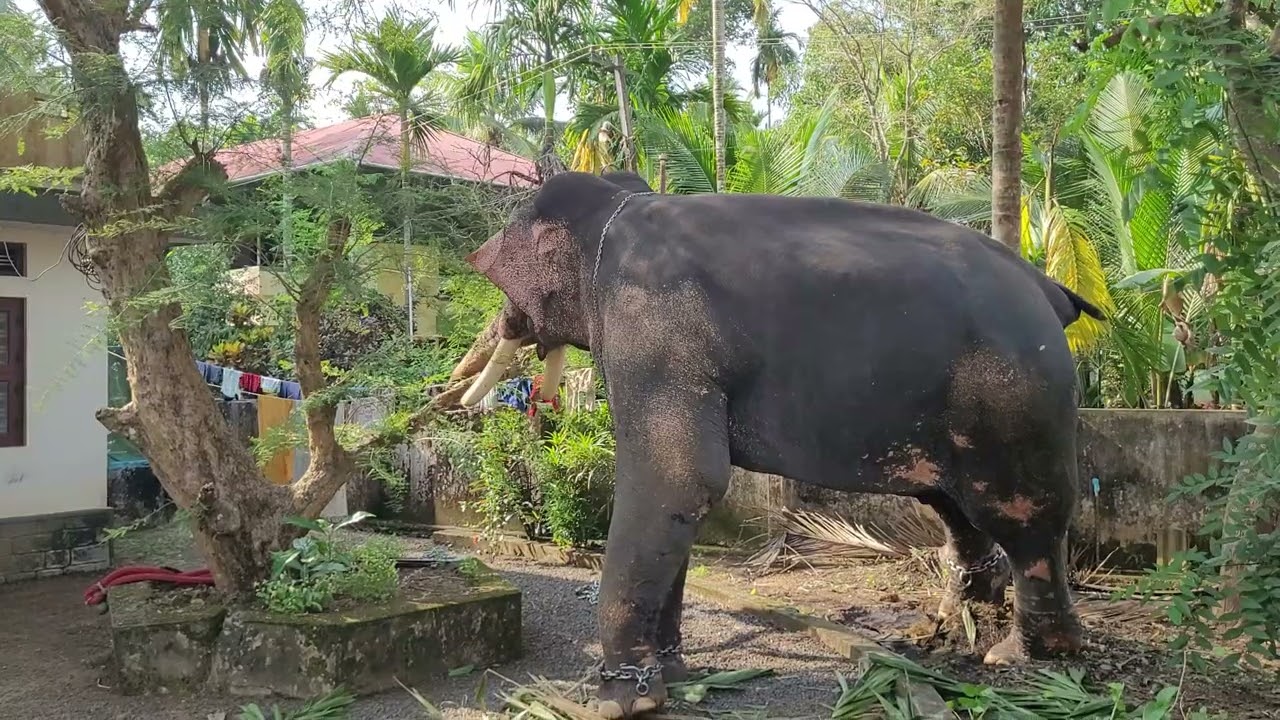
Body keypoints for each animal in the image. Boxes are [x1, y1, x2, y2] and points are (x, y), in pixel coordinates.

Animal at [452, 170, 1103, 719]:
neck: (618, 203)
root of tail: (1048, 288)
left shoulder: (651, 325)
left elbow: (681, 478)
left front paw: (619, 703)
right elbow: (680, 499)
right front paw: (674, 676)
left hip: (1015, 398)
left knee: (1022, 518)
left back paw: (1023, 655)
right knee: (954, 508)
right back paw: (945, 627)